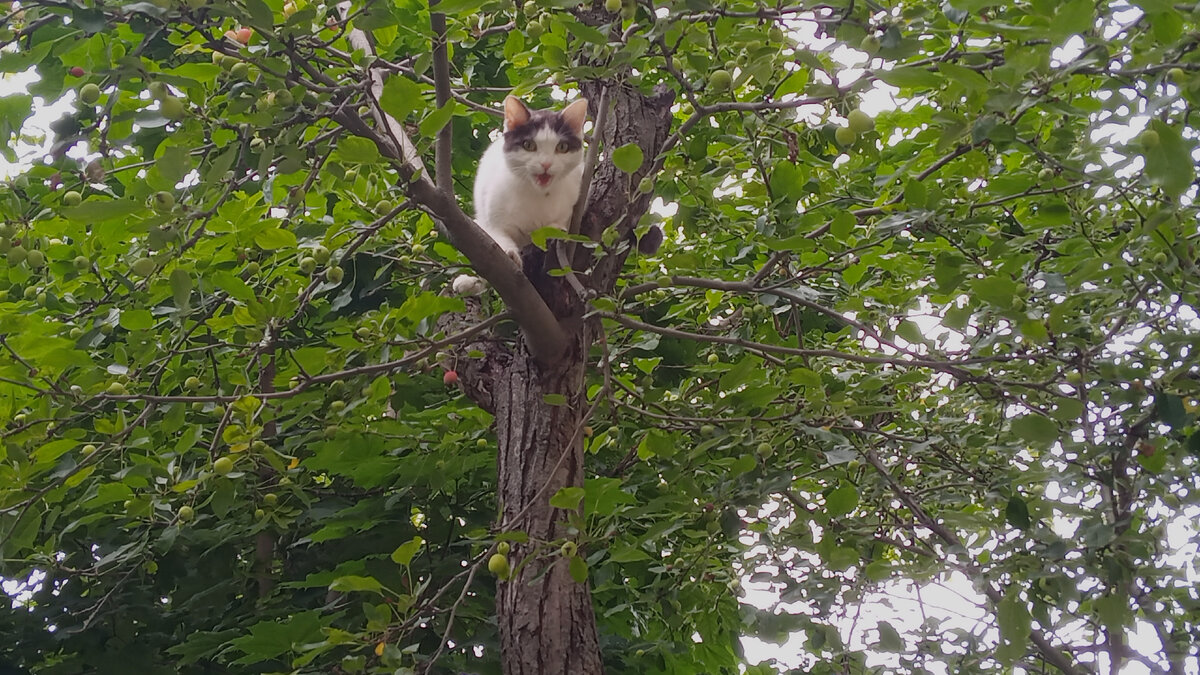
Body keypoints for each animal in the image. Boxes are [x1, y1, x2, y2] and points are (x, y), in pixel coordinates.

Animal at [451, 94, 585, 294]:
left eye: (562, 147)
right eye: (528, 145)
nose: (546, 164)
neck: (537, 194)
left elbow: (561, 223)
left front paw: (555, 228)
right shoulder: (493, 222)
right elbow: (498, 239)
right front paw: (510, 255)